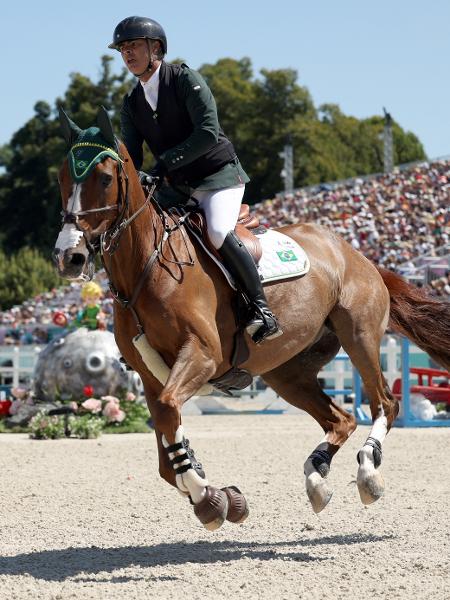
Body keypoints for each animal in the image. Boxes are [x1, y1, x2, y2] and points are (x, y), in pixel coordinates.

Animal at [53, 108, 450, 528]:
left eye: (105, 178)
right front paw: (217, 493)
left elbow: (168, 414)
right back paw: (316, 479)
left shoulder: (202, 355)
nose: (69, 257)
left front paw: (208, 497)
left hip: (358, 336)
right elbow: (165, 443)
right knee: (340, 419)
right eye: (62, 178)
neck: (144, 270)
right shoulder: (149, 376)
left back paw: (368, 473)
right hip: (286, 371)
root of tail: (356, 255)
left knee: (384, 404)